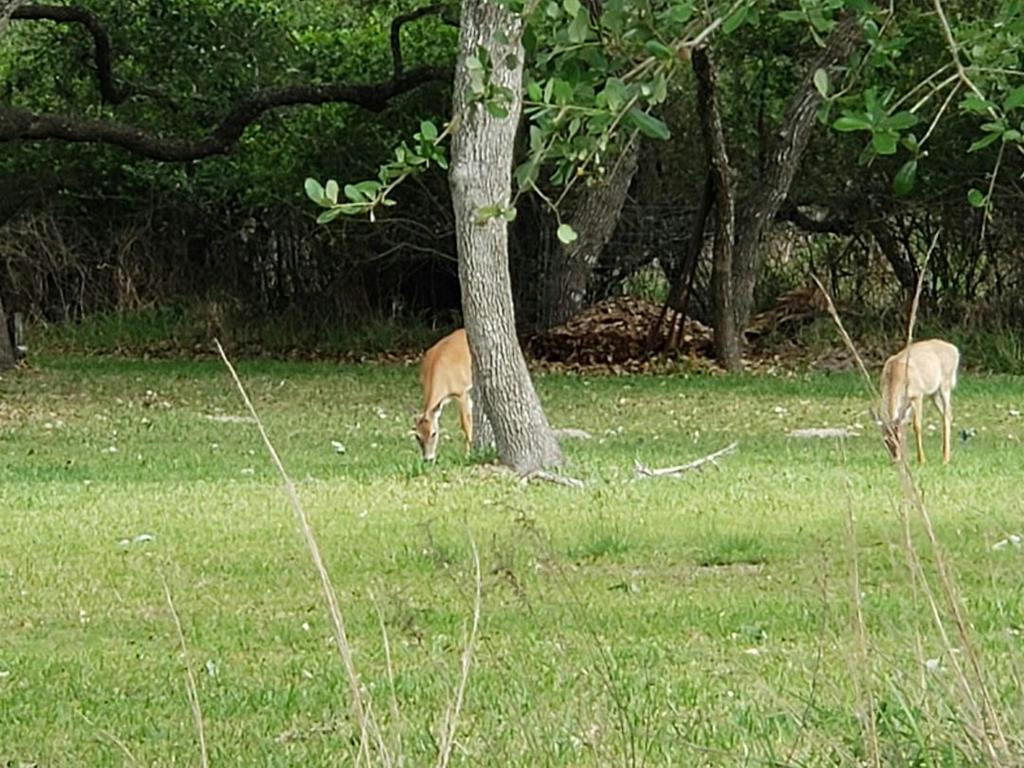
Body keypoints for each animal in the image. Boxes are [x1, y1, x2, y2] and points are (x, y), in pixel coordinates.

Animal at [411, 325, 471, 460]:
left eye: (434, 433)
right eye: (417, 436)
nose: (428, 459)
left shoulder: (461, 392)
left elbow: (465, 424)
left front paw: (468, 453)